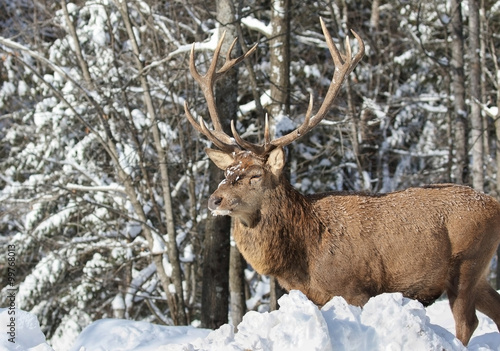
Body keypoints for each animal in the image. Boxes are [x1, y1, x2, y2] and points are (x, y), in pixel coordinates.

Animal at [183, 17, 500, 346]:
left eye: (255, 175)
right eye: (227, 172)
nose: (214, 199)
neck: (302, 256)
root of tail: (495, 204)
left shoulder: (354, 288)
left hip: (467, 262)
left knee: (468, 322)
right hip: (480, 271)